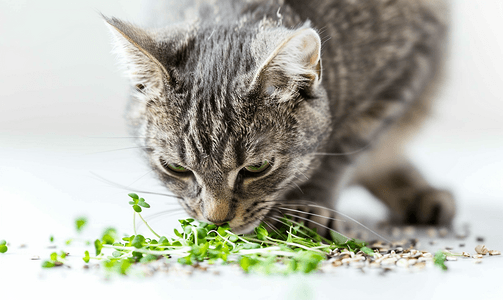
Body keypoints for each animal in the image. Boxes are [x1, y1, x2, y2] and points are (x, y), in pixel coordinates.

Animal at [103, 0, 456, 237]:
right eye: (175, 168)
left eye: (257, 168)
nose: (217, 221)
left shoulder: (408, 65)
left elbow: (341, 150)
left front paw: (309, 205)